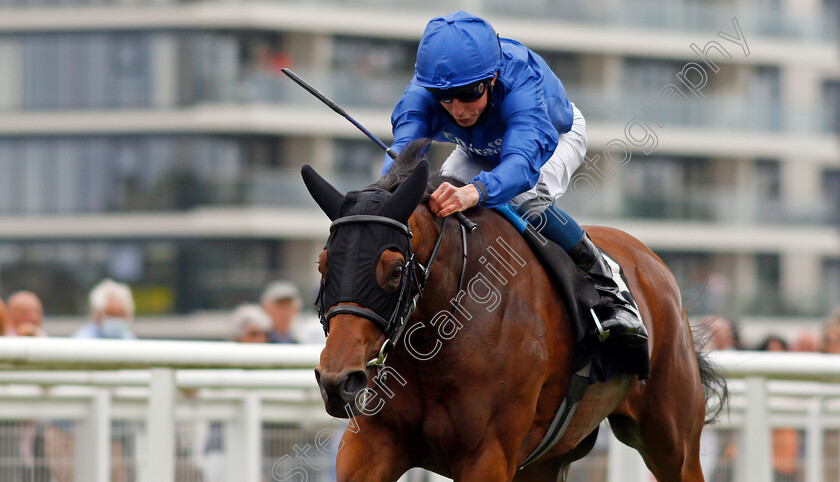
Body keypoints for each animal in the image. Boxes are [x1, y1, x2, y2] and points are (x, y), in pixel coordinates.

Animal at [306, 141, 724, 480]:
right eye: (323, 264)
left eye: (394, 270)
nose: (338, 381)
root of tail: (654, 263)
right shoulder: (372, 443)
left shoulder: (488, 456)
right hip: (547, 460)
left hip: (672, 440)